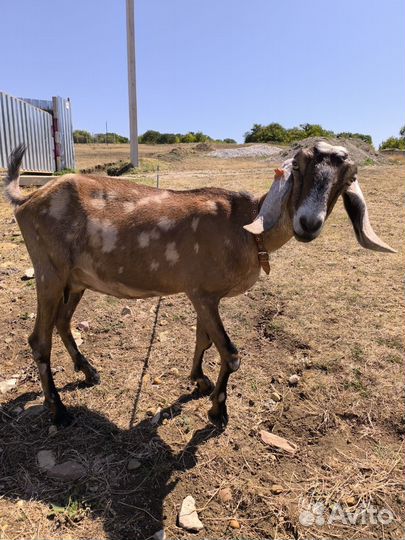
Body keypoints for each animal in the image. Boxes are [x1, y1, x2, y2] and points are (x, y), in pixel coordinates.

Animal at [3, 143, 394, 430]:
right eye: (298, 166)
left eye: (347, 178)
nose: (308, 223)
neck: (244, 225)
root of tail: (28, 199)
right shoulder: (202, 294)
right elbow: (230, 352)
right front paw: (217, 411)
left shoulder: (203, 294)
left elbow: (203, 339)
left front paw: (198, 379)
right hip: (48, 272)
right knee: (38, 339)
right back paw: (58, 411)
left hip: (76, 279)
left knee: (62, 322)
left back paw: (88, 371)